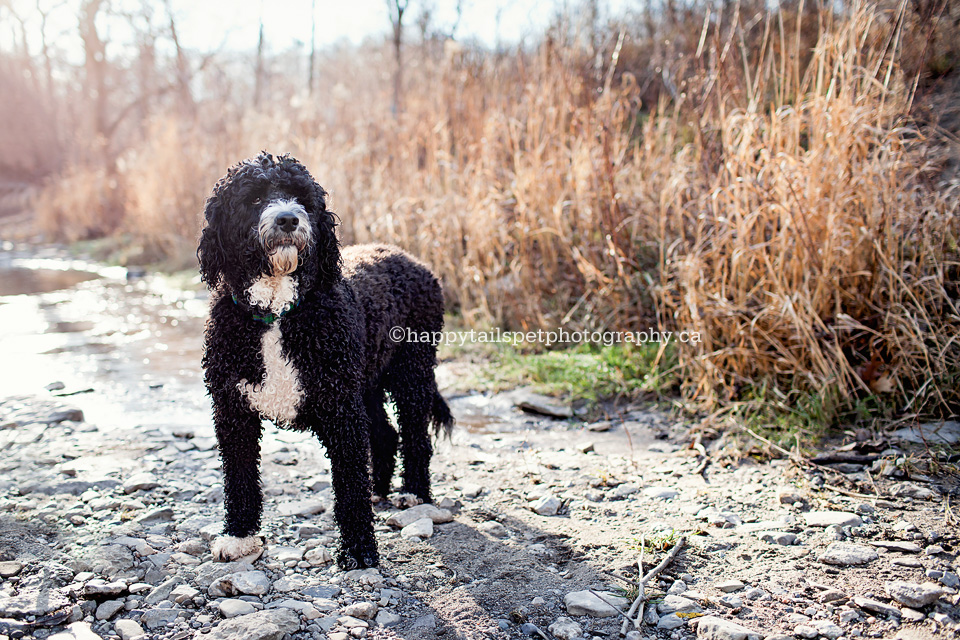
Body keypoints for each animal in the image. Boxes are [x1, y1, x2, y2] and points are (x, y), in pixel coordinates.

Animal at [198, 152, 454, 568]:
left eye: (303, 197)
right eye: (254, 197)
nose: (288, 219)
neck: (278, 311)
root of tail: (411, 259)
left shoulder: (340, 409)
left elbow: (349, 486)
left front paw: (359, 550)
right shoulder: (233, 409)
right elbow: (238, 476)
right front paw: (239, 536)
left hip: (411, 372)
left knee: (415, 434)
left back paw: (414, 492)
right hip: (366, 381)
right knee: (385, 434)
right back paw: (379, 488)